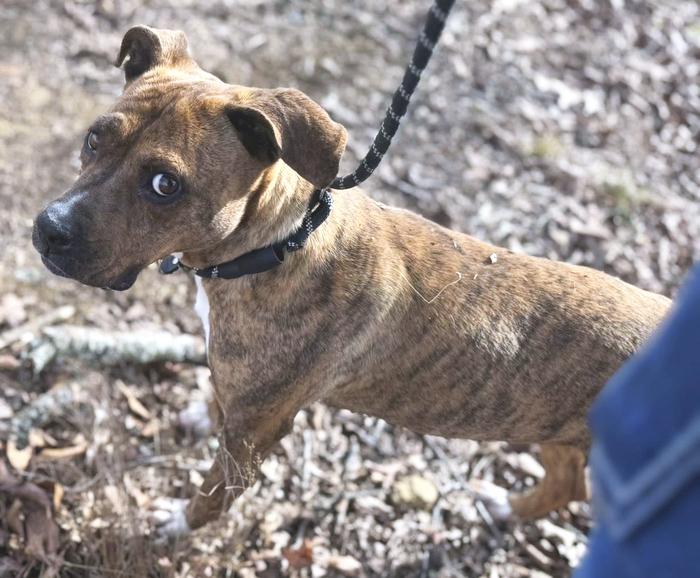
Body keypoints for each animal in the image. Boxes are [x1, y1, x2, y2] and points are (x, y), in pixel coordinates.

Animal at [32, 26, 671, 538]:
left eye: (165, 184)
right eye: (94, 139)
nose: (47, 230)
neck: (276, 245)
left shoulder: (255, 436)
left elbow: (212, 495)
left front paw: (175, 528)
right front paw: (199, 411)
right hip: (560, 435)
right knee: (568, 484)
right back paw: (508, 509)